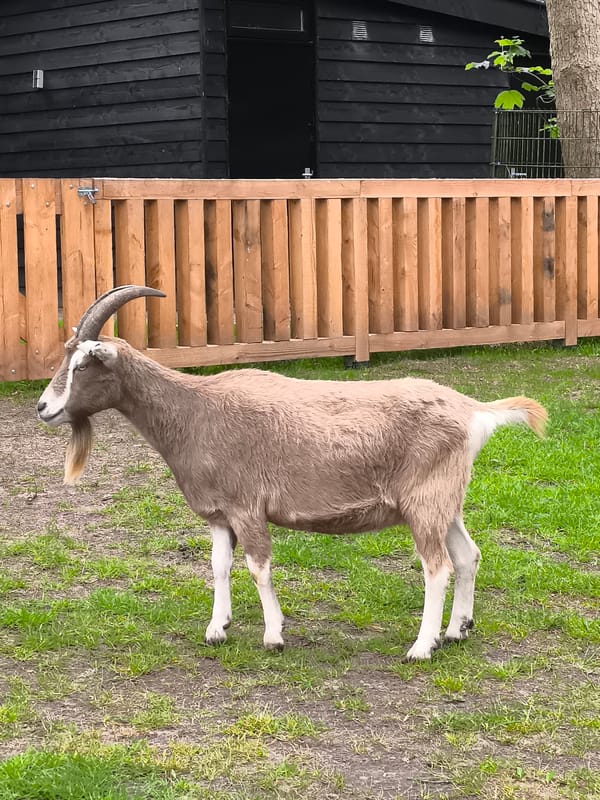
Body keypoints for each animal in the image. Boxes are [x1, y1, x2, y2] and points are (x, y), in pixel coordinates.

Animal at [37, 285, 547, 660]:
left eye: (84, 363)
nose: (43, 408)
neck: (195, 410)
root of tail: (473, 411)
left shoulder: (247, 506)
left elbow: (258, 566)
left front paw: (273, 636)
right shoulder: (220, 514)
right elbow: (219, 565)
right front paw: (217, 628)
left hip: (424, 503)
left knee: (436, 566)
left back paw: (422, 647)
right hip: (445, 502)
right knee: (467, 555)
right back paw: (458, 630)